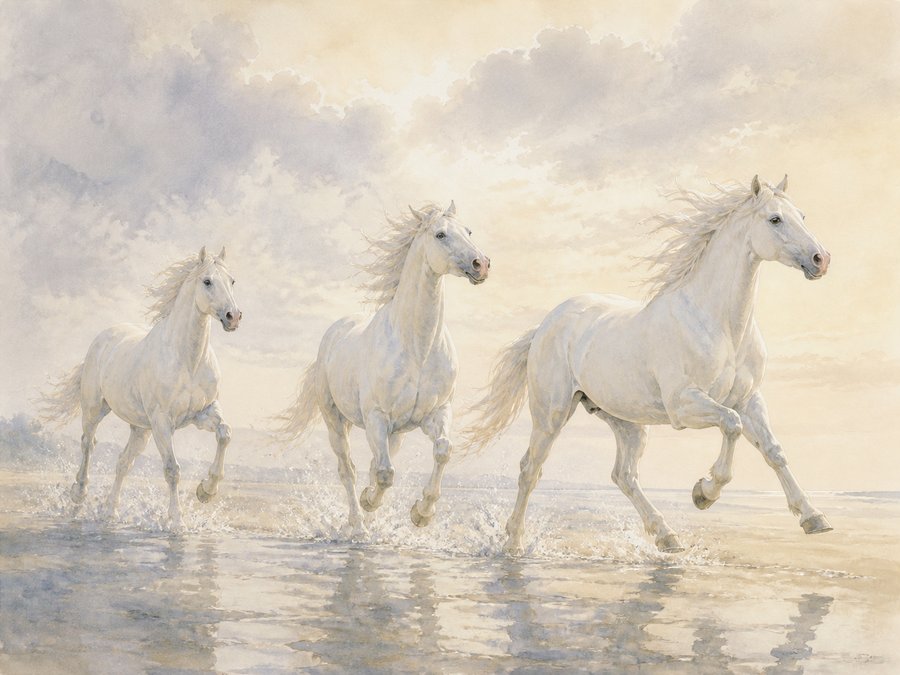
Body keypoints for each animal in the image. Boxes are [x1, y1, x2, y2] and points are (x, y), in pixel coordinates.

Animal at [40, 247, 241, 529]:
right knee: (88, 444)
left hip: (140, 429)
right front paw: (177, 522)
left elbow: (225, 434)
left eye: (232, 281)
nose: (233, 317)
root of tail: (104, 336)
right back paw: (78, 495)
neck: (187, 360)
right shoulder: (162, 422)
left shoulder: (204, 412)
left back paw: (110, 512)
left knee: (123, 462)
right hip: (95, 409)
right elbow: (172, 470)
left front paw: (206, 491)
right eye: (207, 281)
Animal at [277, 202, 490, 535]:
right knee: (348, 469)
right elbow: (385, 474)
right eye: (440, 234)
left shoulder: (436, 413)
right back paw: (358, 524)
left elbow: (443, 449)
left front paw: (422, 513)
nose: (481, 264)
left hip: (395, 433)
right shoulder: (377, 417)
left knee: (373, 464)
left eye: (468, 231)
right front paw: (370, 501)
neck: (418, 348)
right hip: (336, 421)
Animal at [463, 176, 833, 554]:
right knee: (530, 469)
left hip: (627, 422)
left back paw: (667, 536)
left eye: (802, 215)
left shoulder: (749, 400)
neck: (720, 325)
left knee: (623, 475)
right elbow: (731, 425)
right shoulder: (685, 405)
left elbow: (774, 451)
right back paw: (513, 544)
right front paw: (704, 493)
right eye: (775, 219)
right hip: (551, 414)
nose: (821, 259)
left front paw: (813, 518)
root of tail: (544, 326)